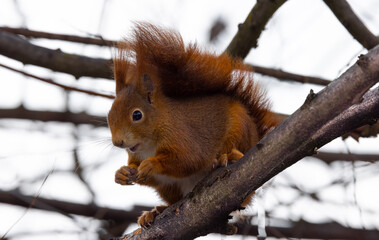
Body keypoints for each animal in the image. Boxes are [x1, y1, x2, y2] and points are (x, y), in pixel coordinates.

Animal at [108, 22, 278, 227]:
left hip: (240, 130)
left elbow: (189, 159)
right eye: (109, 114)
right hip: (170, 189)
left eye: (137, 115)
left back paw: (231, 156)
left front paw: (152, 164)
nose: (118, 143)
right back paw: (154, 212)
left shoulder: (183, 136)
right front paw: (122, 173)